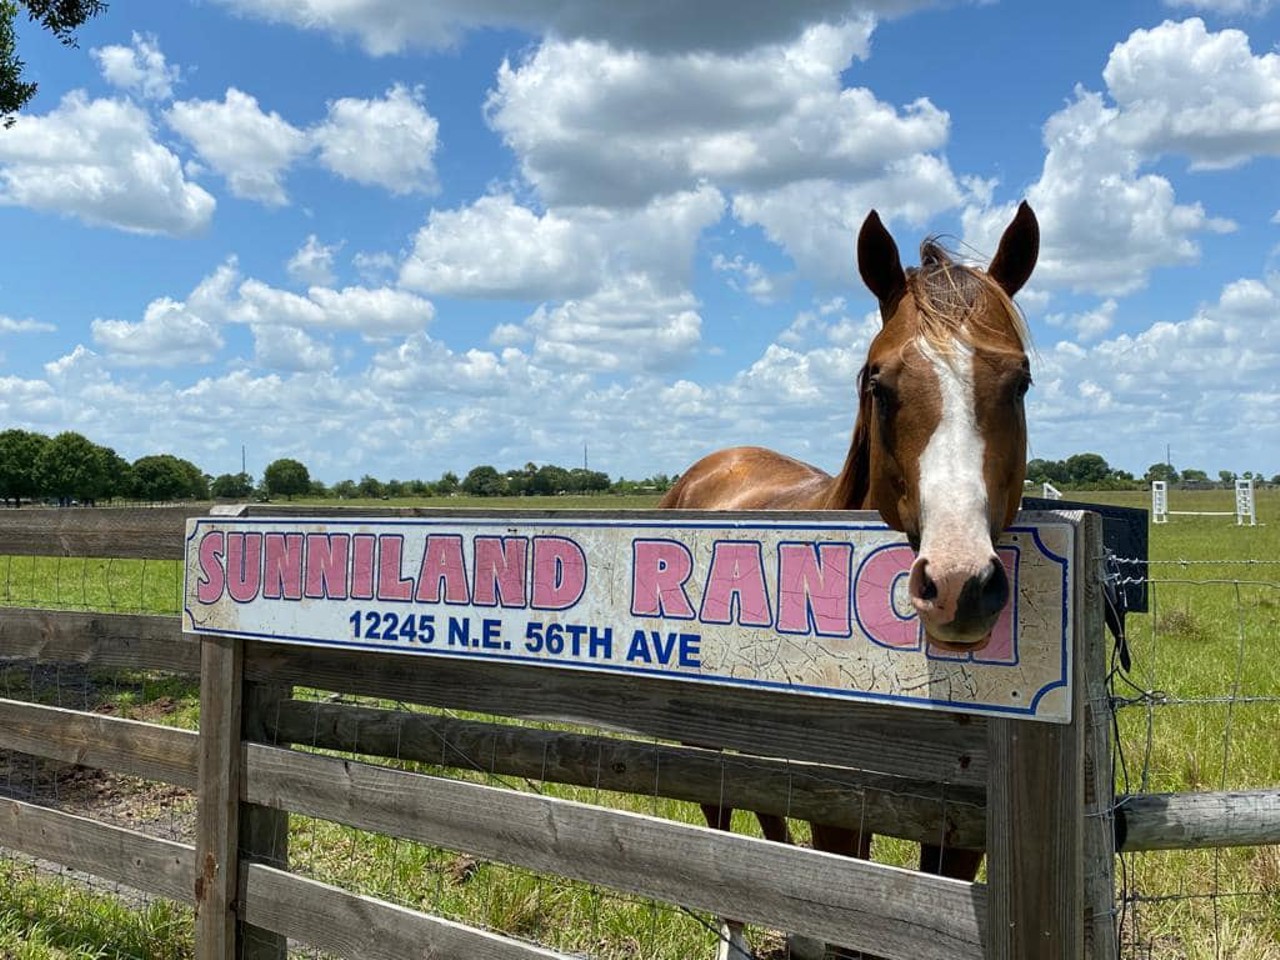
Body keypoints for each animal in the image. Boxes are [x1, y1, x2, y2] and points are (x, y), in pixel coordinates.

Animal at [660, 199, 1039, 957]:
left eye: (1019, 381)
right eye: (878, 383)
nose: (958, 583)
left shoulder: (963, 831)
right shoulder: (840, 813)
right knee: (722, 826)